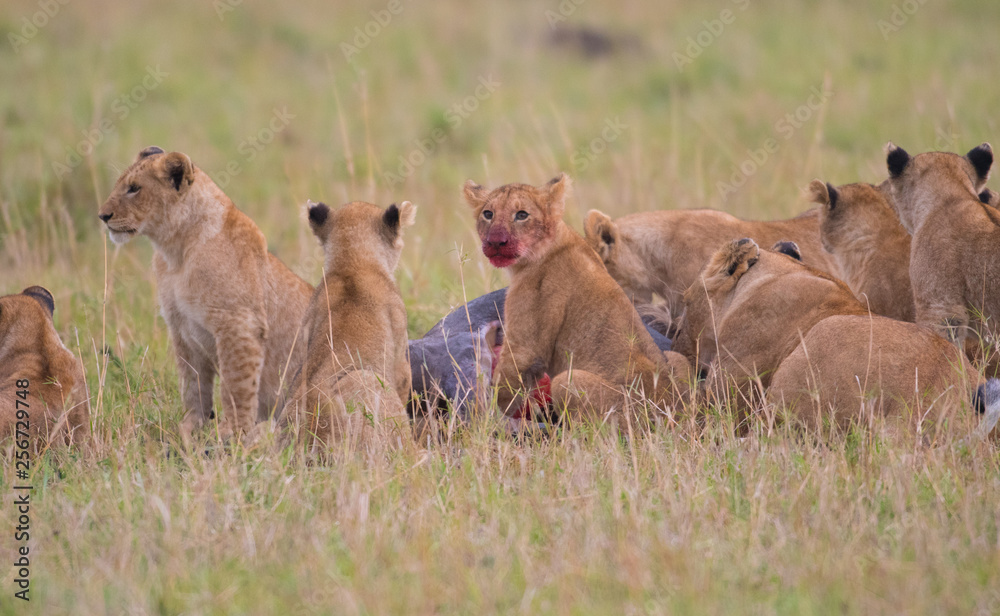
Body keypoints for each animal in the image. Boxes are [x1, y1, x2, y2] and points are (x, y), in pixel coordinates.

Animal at [98, 146, 313, 443]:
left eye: (134, 188)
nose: (102, 215)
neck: (176, 252)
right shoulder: (181, 329)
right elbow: (192, 384)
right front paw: (190, 429)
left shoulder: (239, 324)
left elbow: (235, 385)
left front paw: (233, 432)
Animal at [463, 174, 691, 428]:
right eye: (488, 214)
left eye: (521, 214)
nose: (495, 242)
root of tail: (678, 416)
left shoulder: (525, 348)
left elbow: (506, 387)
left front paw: (489, 421)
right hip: (678, 359)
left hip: (567, 382)